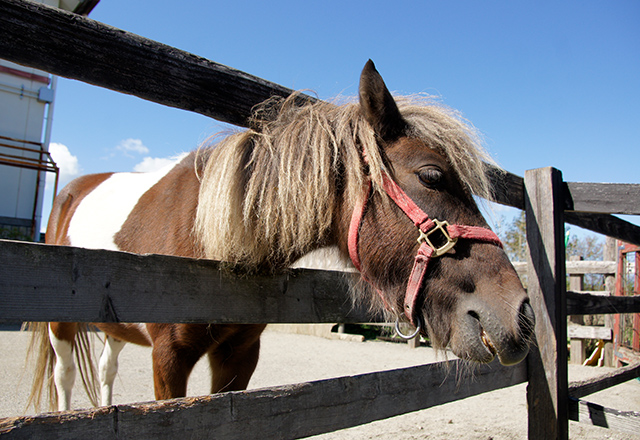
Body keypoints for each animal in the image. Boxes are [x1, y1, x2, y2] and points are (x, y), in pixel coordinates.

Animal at [26, 60, 536, 410]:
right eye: (432, 176)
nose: (521, 314)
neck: (209, 241)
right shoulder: (168, 359)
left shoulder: (238, 355)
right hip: (60, 327)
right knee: (65, 379)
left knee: (107, 369)